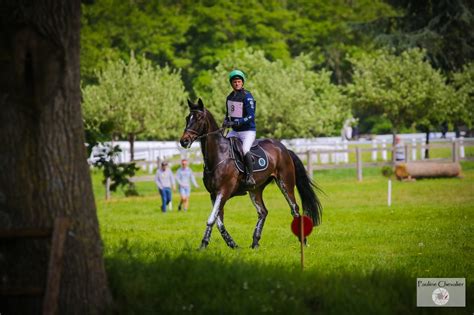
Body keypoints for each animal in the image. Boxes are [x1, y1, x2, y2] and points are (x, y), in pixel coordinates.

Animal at [179, 99, 322, 249]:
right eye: (187, 118)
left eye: (199, 118)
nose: (184, 141)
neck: (219, 155)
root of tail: (284, 149)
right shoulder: (213, 194)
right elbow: (218, 221)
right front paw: (232, 244)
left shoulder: (223, 191)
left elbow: (212, 218)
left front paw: (204, 244)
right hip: (255, 189)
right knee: (263, 212)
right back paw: (255, 242)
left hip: (285, 183)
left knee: (294, 208)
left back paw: (303, 241)